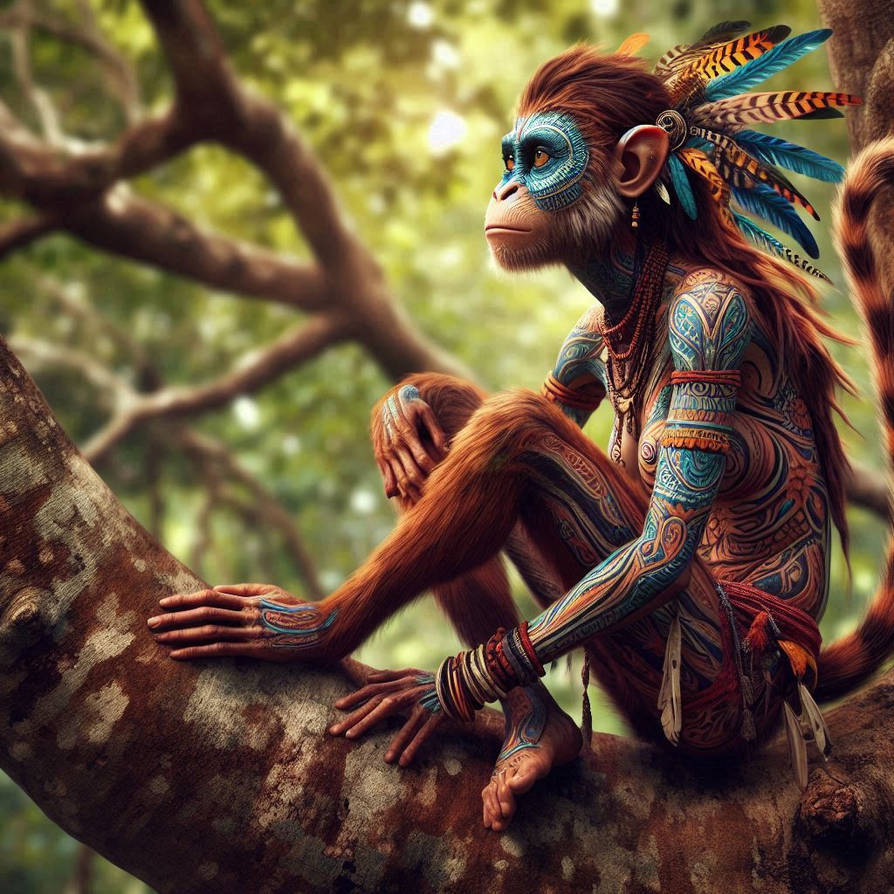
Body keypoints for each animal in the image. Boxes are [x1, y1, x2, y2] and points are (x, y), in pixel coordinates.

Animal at [147, 33, 894, 832]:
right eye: (512, 160)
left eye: (539, 158)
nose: (505, 191)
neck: (643, 272)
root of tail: (793, 663)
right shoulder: (584, 340)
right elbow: (541, 401)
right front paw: (403, 402)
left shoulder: (712, 318)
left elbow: (656, 549)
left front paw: (312, 634)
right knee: (472, 432)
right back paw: (542, 731)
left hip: (711, 675)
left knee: (516, 430)